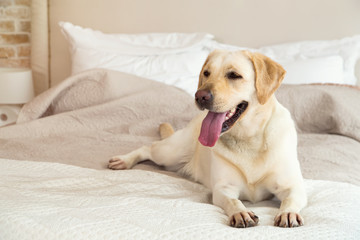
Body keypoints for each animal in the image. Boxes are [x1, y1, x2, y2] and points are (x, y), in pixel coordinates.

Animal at [107, 49, 306, 228]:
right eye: (206, 73)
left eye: (234, 75)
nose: (200, 96)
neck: (248, 140)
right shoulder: (223, 188)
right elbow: (233, 201)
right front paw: (241, 213)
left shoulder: (293, 186)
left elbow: (291, 199)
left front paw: (288, 213)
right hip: (170, 153)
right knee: (148, 148)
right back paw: (124, 160)